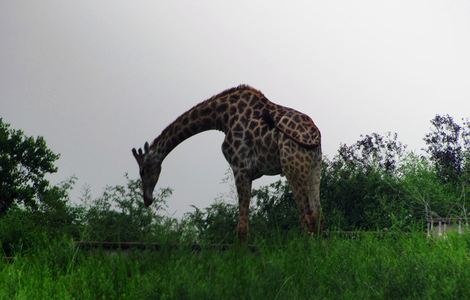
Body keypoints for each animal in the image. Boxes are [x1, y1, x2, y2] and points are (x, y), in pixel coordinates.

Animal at [132, 85, 324, 241]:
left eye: (142, 171)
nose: (147, 199)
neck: (222, 117)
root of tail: (316, 135)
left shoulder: (241, 168)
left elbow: (242, 228)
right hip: (314, 168)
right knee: (317, 215)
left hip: (292, 167)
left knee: (306, 217)